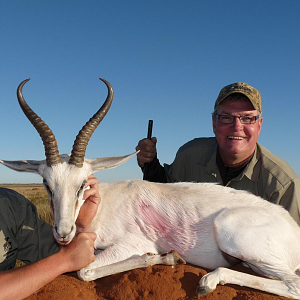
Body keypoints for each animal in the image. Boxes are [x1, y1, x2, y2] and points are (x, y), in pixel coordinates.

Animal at [1, 78, 300, 298]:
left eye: (83, 184)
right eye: (47, 183)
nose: (63, 234)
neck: (101, 207)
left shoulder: (130, 243)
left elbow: (84, 271)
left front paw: (167, 258)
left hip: (232, 233)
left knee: (293, 284)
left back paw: (208, 281)